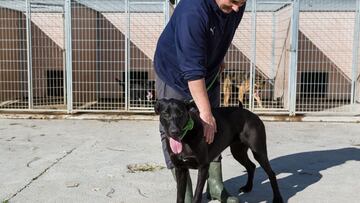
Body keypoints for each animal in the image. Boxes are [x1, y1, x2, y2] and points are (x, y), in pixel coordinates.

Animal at [155, 98, 284, 203]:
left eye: (181, 113)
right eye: (165, 114)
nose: (174, 132)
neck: (186, 137)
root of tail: (249, 112)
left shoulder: (203, 167)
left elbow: (197, 195)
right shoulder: (180, 168)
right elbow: (180, 196)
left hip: (258, 151)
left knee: (271, 173)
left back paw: (277, 198)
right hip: (238, 151)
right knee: (251, 166)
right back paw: (248, 187)